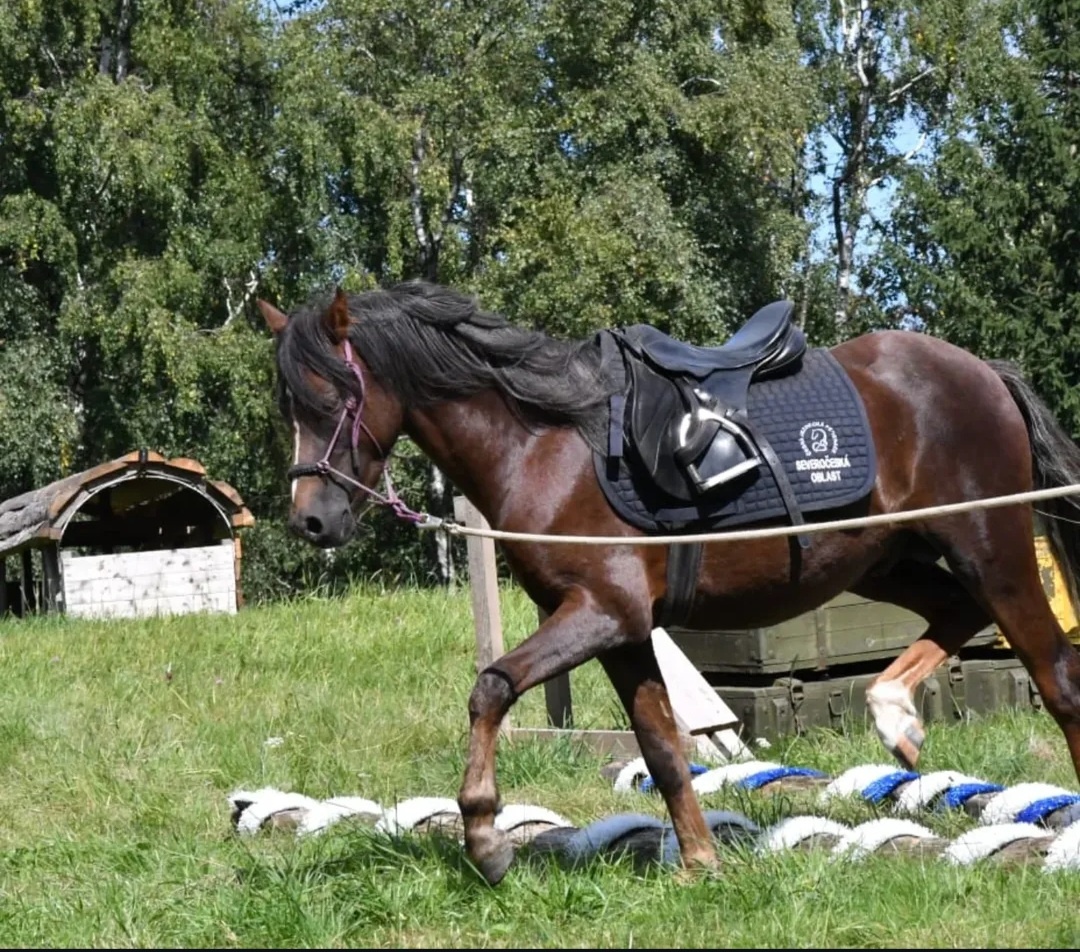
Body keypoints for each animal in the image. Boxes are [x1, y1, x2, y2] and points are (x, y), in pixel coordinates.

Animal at [257, 279, 1080, 885]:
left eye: (334, 399)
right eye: (285, 404)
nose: (312, 521)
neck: (541, 444)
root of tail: (985, 372)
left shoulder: (602, 612)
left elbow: (491, 687)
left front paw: (486, 840)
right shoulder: (621, 633)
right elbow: (661, 749)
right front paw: (699, 865)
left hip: (993, 550)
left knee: (1055, 676)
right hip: (889, 561)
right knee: (956, 612)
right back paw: (893, 715)